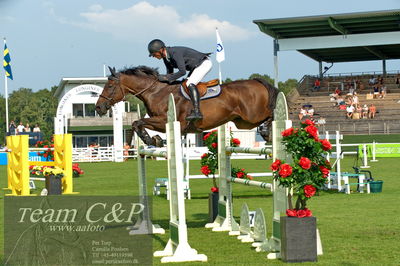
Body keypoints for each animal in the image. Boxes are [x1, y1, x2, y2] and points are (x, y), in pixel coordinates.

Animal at [95, 65, 280, 147]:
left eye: (109, 86)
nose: (98, 107)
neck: (156, 92)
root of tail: (257, 81)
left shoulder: (166, 120)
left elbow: (137, 122)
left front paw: (151, 140)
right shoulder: (161, 123)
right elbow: (137, 123)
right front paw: (154, 140)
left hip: (252, 115)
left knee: (272, 114)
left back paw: (267, 132)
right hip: (243, 121)